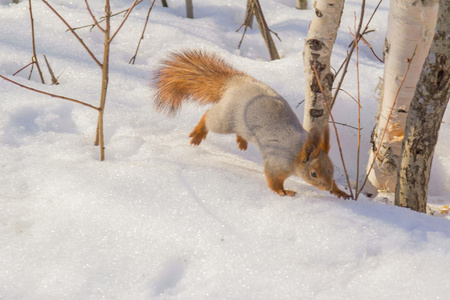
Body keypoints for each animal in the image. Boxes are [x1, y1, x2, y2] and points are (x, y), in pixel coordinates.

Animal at [155, 50, 352, 198]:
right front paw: (283, 192)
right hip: (226, 119)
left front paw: (339, 191)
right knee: (209, 116)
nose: (327, 188)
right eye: (313, 173)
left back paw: (241, 142)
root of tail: (235, 82)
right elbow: (273, 180)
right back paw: (198, 133)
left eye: (331, 169)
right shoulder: (276, 161)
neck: (296, 152)